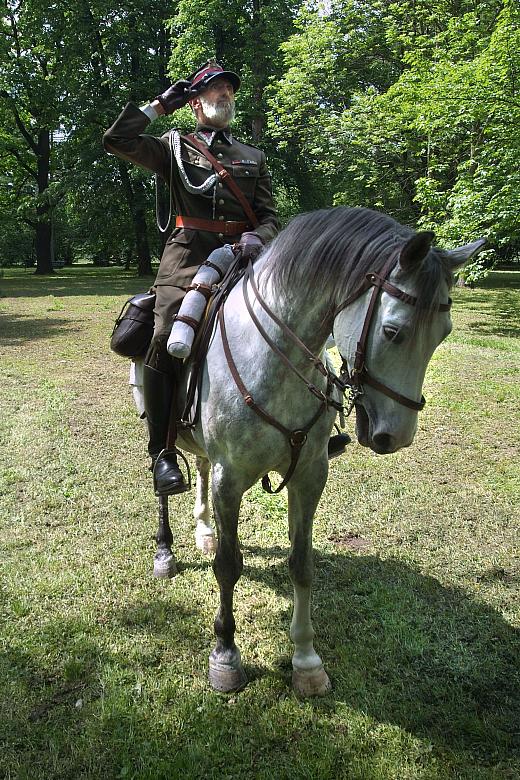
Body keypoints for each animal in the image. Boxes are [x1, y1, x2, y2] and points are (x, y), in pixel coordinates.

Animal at [152, 206, 486, 696]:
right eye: (393, 331)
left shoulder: (310, 476)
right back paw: (166, 549)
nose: (397, 435)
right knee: (162, 478)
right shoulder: (230, 480)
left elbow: (302, 563)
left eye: (443, 334)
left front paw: (306, 661)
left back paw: (203, 531)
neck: (273, 355)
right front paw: (225, 655)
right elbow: (228, 567)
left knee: (199, 465)